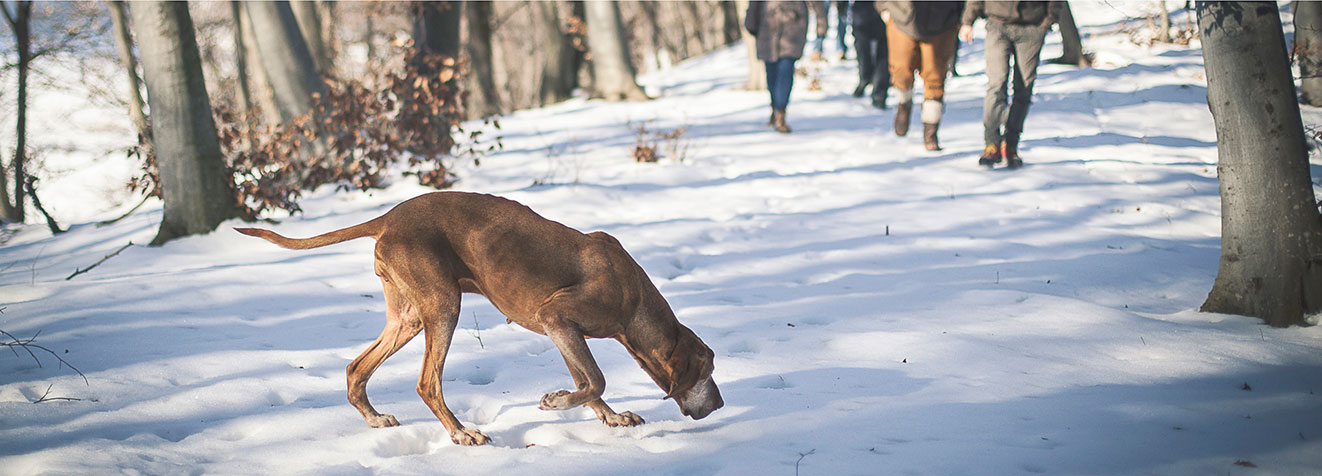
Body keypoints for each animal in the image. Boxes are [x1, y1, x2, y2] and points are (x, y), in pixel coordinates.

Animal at [243, 191, 729, 444]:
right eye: (709, 369)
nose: (722, 403)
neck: (635, 299)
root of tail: (388, 218)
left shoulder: (561, 329)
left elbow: (586, 380)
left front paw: (609, 418)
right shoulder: (557, 315)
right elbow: (596, 379)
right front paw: (556, 403)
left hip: (409, 317)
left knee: (355, 367)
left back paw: (376, 419)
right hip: (444, 305)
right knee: (427, 382)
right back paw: (461, 433)